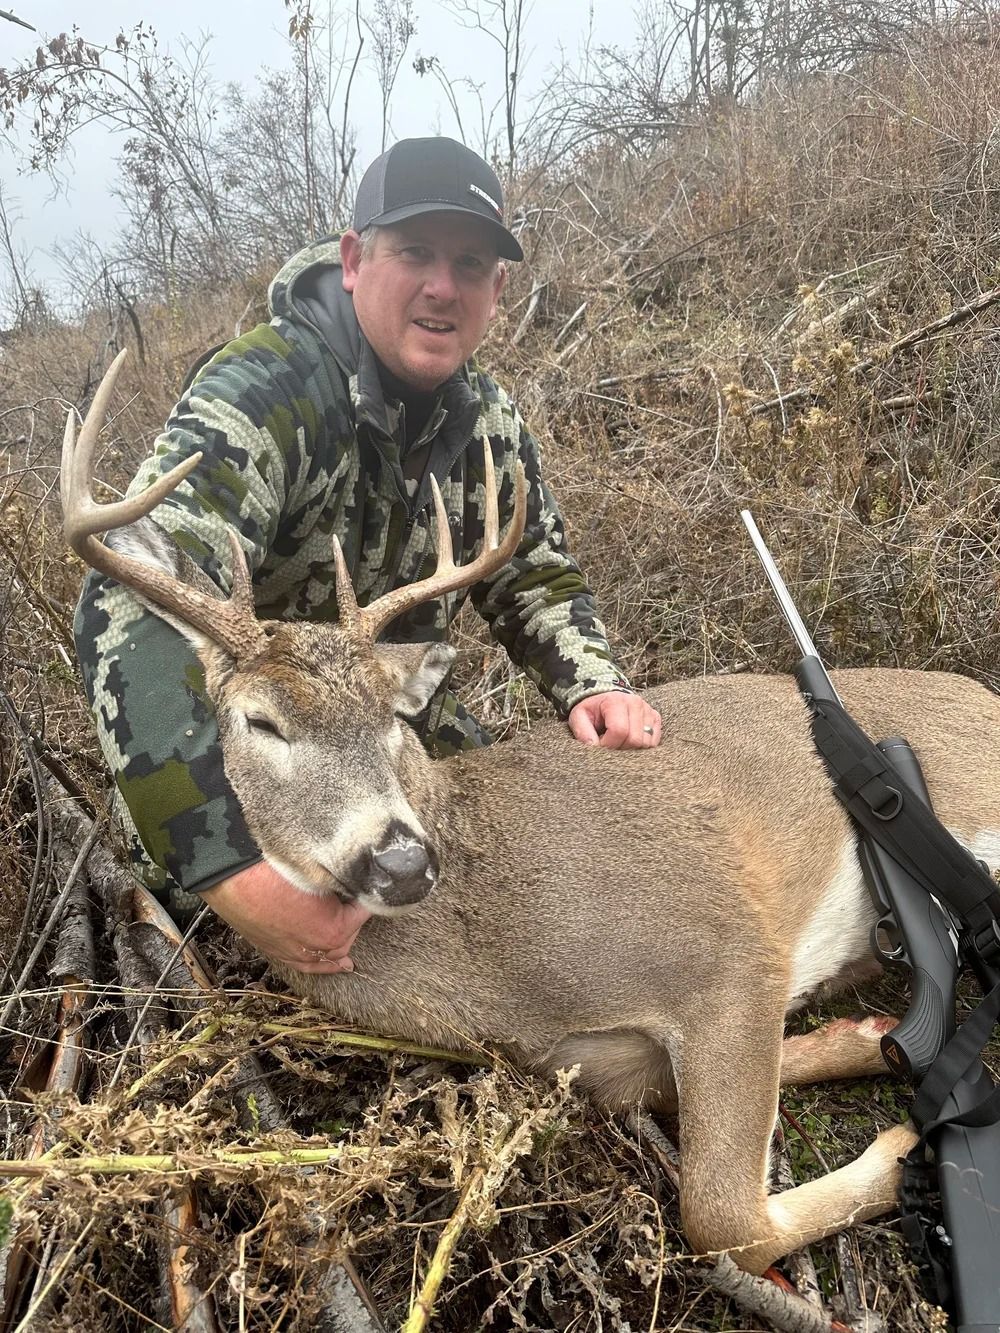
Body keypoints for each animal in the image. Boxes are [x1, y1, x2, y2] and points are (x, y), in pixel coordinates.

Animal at [62, 352, 1000, 1276]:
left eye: (392, 716)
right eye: (260, 721)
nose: (400, 858)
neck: (500, 977)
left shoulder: (728, 950)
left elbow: (721, 1216)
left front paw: (902, 1139)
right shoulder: (608, 1066)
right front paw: (866, 1036)